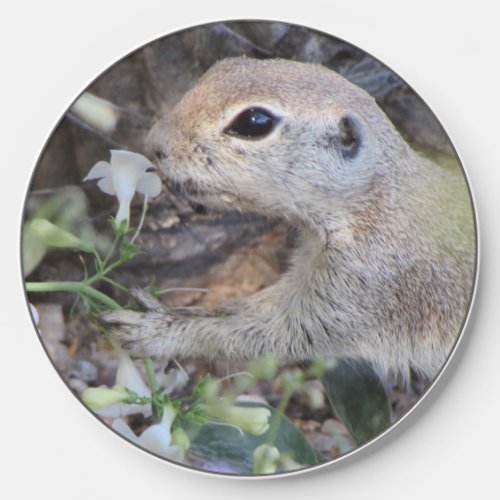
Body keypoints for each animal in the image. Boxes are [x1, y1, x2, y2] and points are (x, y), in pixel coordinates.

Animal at [99, 55, 474, 378]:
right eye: (220, 67)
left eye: (254, 122)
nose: (154, 143)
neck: (374, 202)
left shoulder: (362, 288)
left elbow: (278, 331)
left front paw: (156, 331)